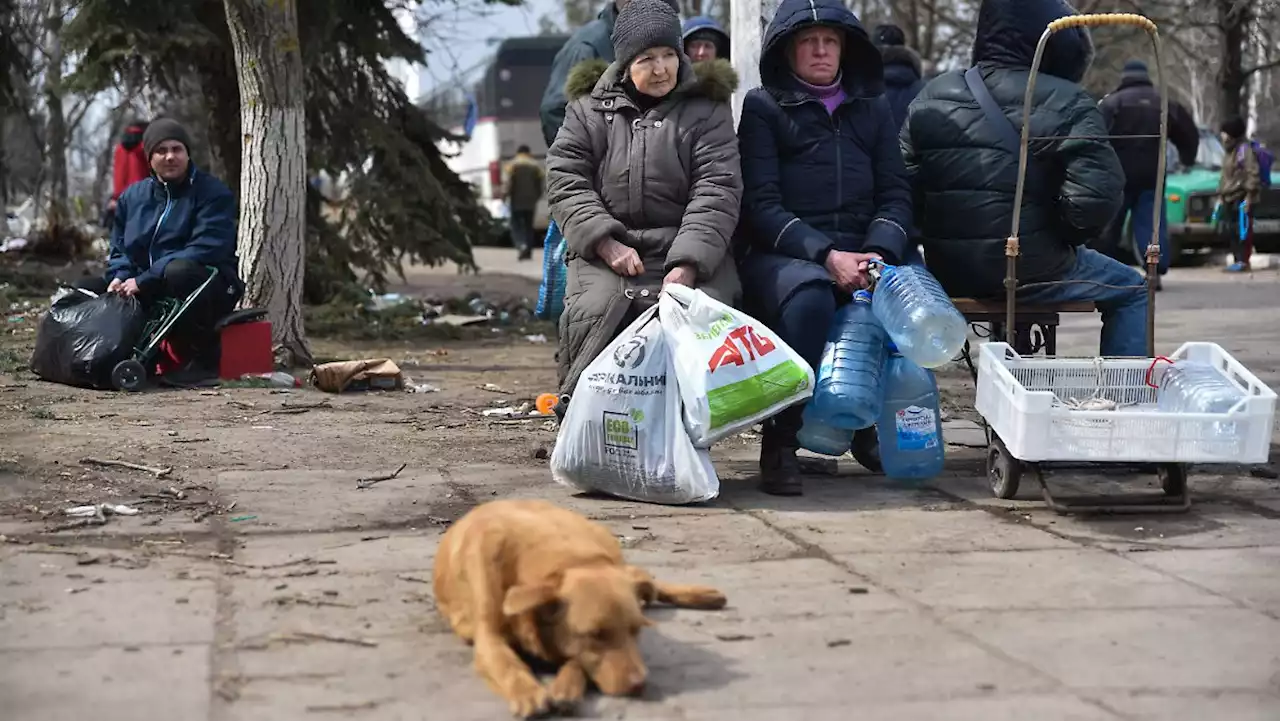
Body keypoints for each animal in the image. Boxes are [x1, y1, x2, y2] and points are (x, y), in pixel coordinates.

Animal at [435, 499, 727, 717]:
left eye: (636, 631)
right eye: (596, 635)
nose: (640, 684)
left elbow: (576, 659)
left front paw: (566, 686)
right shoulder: (489, 638)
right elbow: (509, 666)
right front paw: (528, 692)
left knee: (646, 580)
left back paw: (703, 595)